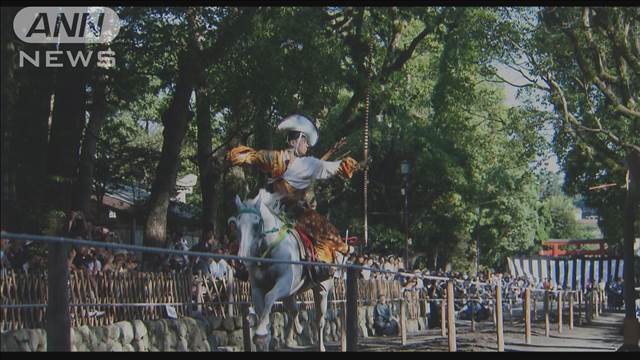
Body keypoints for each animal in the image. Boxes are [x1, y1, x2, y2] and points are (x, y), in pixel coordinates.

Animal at [231, 188, 340, 352]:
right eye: (237, 226)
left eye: (256, 224)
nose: (242, 259)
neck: (270, 251)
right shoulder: (257, 288)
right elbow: (262, 311)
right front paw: (264, 338)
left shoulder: (286, 281)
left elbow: (270, 297)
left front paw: (261, 333)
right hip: (291, 294)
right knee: (294, 311)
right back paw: (290, 338)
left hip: (321, 289)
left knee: (319, 320)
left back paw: (320, 345)